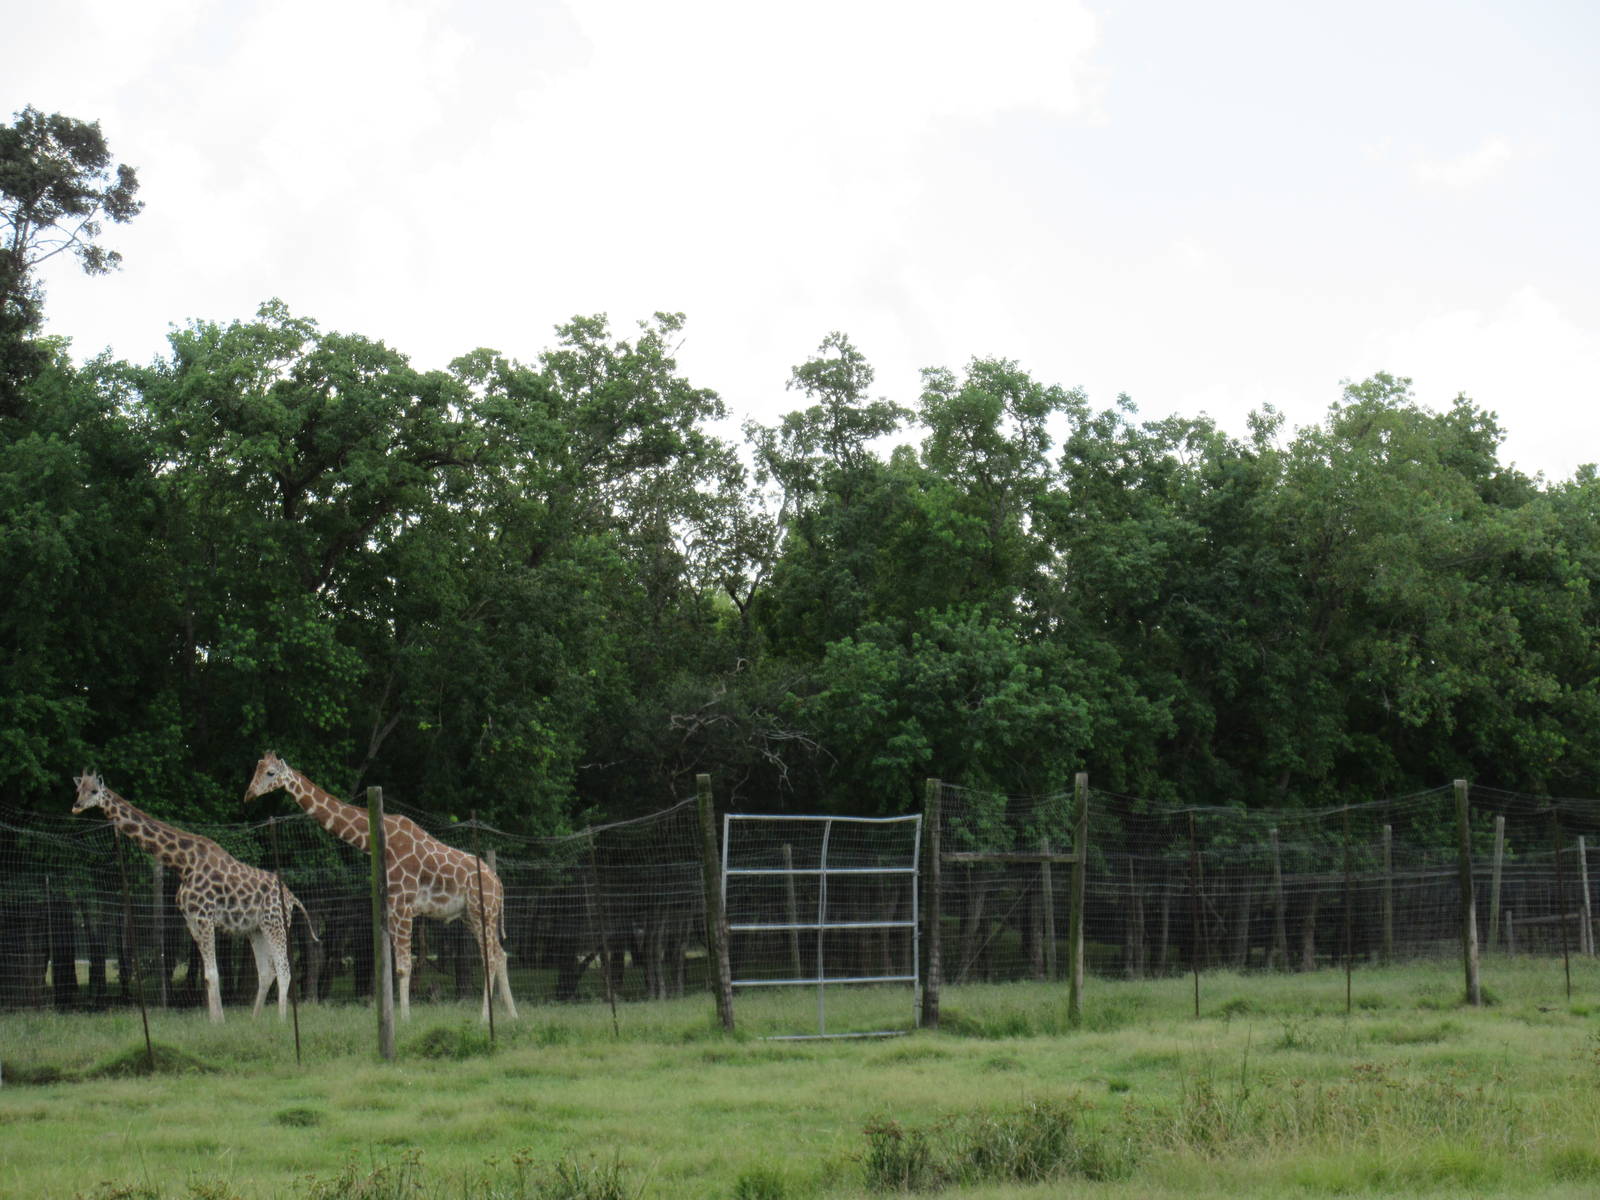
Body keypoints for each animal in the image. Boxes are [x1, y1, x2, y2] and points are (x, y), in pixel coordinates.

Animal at [71, 772, 315, 1023]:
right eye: (79, 790)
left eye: (94, 791)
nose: (76, 806)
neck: (183, 863)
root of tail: (292, 897)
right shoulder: (191, 920)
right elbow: (207, 974)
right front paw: (214, 1020)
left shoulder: (205, 916)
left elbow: (212, 973)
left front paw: (218, 1022)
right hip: (256, 929)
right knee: (267, 972)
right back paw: (255, 1020)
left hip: (276, 923)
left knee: (284, 969)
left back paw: (282, 1020)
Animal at [242, 751, 517, 1022]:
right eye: (257, 768)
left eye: (270, 773)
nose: (249, 794)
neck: (377, 841)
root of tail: (499, 883)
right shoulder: (390, 906)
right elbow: (391, 966)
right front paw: (393, 1015)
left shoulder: (403, 905)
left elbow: (404, 966)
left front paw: (405, 1020)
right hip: (471, 915)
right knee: (500, 955)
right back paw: (512, 1015)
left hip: (483, 911)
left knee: (492, 957)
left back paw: (486, 1018)